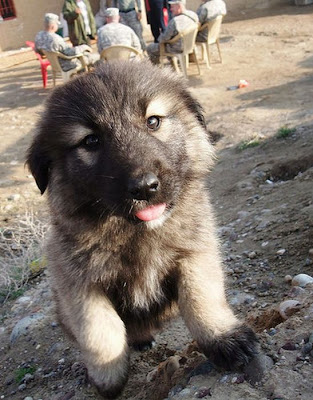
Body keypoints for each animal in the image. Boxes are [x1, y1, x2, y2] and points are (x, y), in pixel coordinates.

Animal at [26, 61, 256, 398]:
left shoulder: (195, 252)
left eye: (153, 121)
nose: (145, 187)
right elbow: (100, 331)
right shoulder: (76, 283)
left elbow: (201, 298)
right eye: (90, 141)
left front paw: (224, 338)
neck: (136, 233)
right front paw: (108, 377)